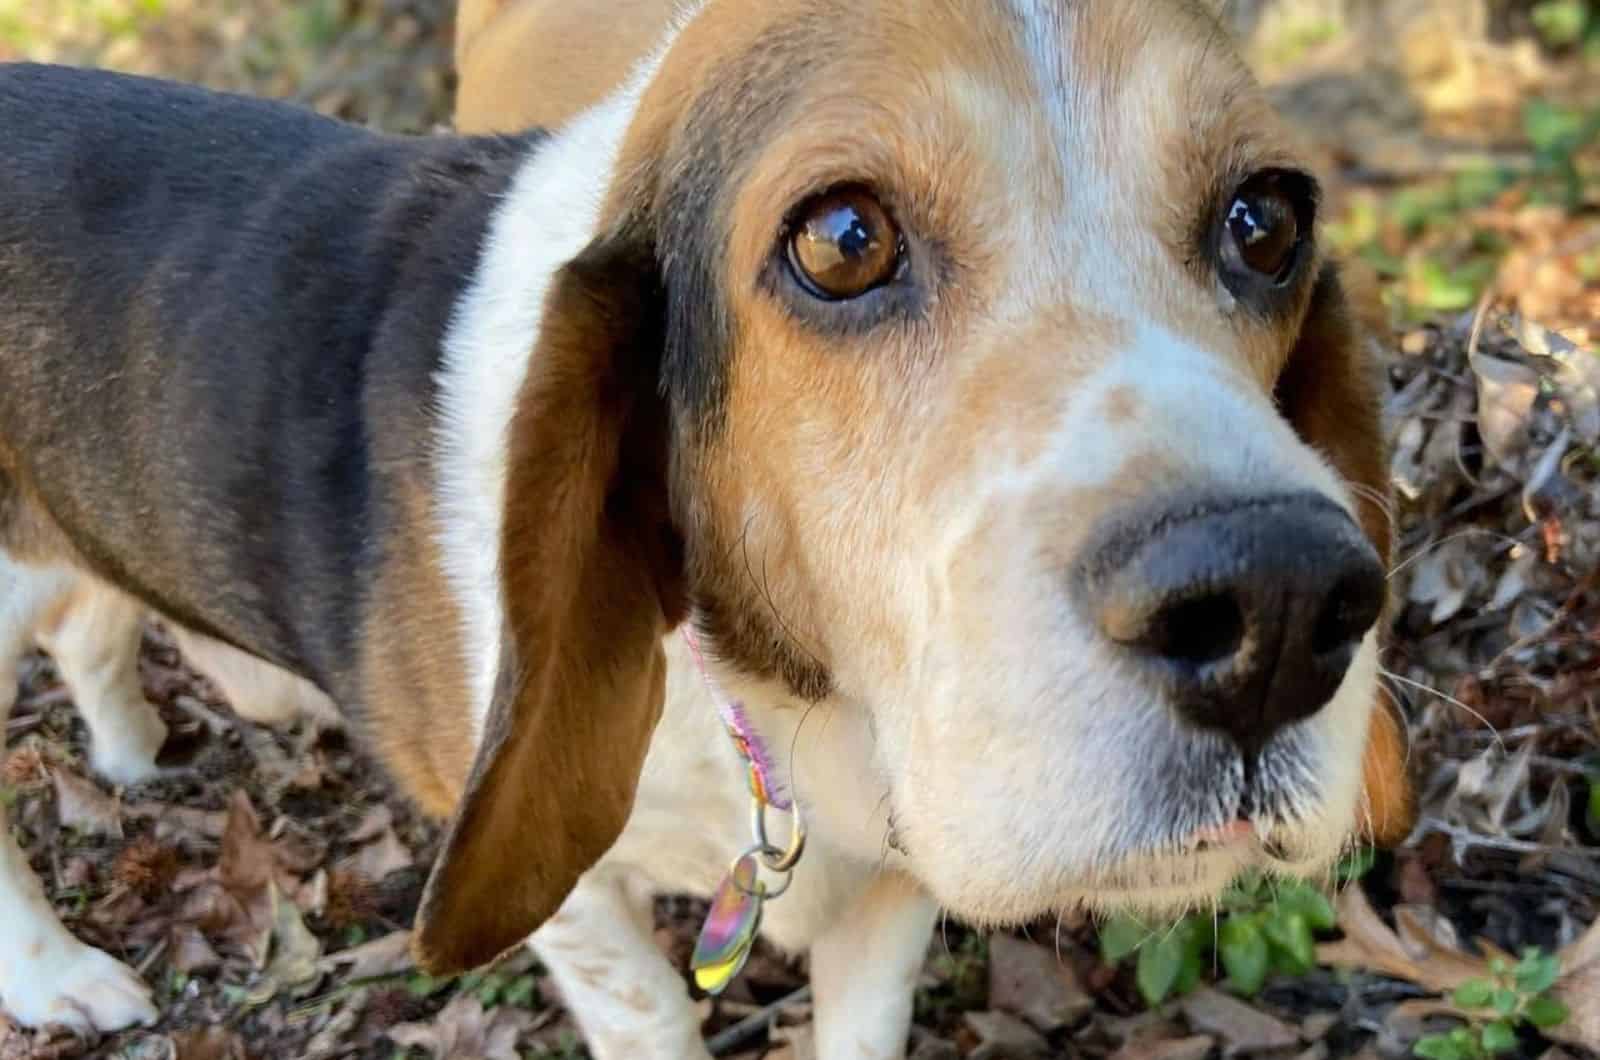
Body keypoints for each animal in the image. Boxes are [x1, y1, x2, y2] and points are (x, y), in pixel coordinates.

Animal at [0, 2, 1414, 1056]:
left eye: (1267, 221)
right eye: (842, 240)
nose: (1279, 609)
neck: (780, 707)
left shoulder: (893, 885)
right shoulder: (573, 901)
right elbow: (649, 1015)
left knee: (90, 622)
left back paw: (141, 744)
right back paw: (62, 974)